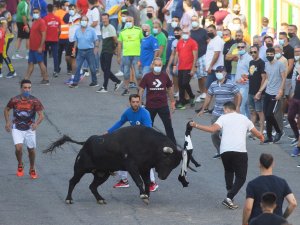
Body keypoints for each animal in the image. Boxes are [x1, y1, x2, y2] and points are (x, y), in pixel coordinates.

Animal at [42, 125, 185, 205]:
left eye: (175, 165)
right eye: (167, 161)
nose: (163, 177)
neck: (150, 145)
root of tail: (86, 143)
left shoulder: (145, 168)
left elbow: (147, 182)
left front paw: (146, 196)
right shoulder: (132, 166)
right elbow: (139, 181)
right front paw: (143, 195)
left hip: (102, 174)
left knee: (92, 186)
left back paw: (100, 199)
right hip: (80, 169)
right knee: (73, 182)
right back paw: (68, 199)